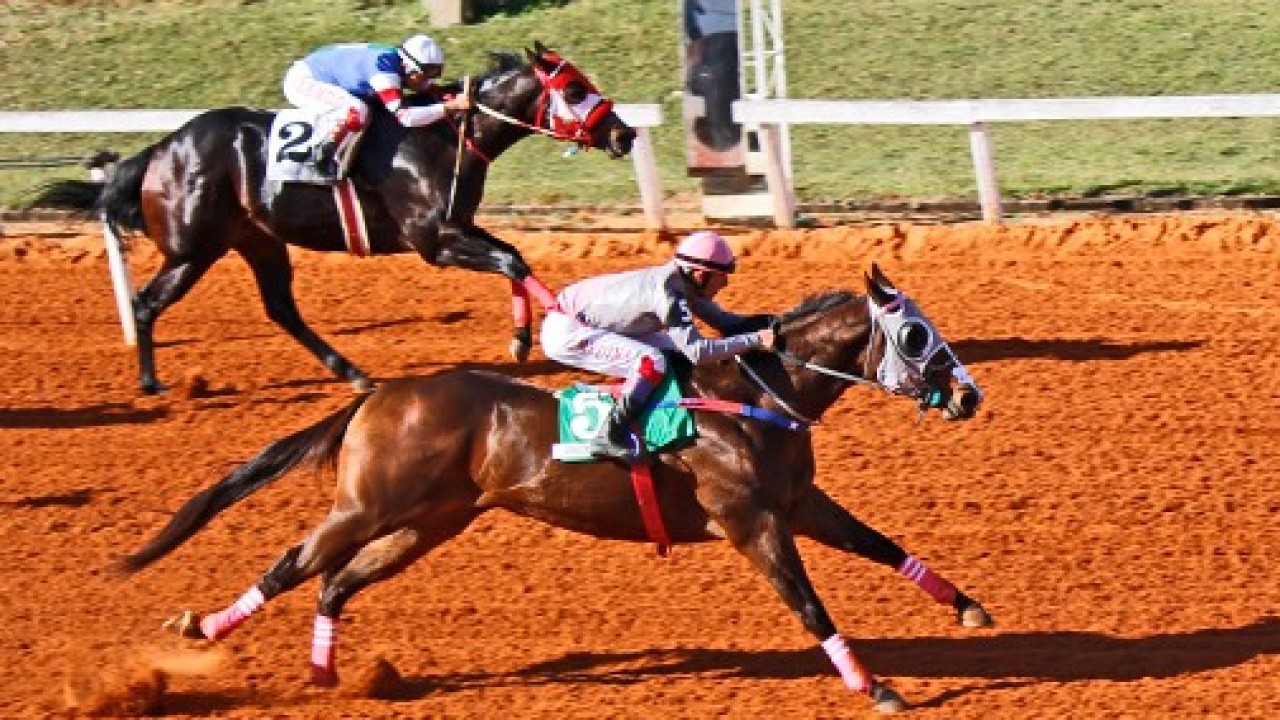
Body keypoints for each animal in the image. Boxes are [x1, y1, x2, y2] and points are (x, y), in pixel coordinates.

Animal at [36, 40, 640, 392]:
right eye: (576, 89)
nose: (625, 134)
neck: (444, 137)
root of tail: (161, 149)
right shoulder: (434, 240)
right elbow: (513, 262)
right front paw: (566, 329)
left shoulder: (456, 226)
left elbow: (514, 255)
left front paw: (521, 338)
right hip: (192, 248)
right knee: (145, 303)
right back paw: (150, 383)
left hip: (258, 239)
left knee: (281, 308)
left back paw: (352, 372)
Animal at [122, 266, 988, 712]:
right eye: (915, 334)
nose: (971, 395)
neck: (747, 394)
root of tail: (377, 396)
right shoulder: (749, 520)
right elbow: (809, 605)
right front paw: (875, 686)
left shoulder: (798, 504)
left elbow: (883, 545)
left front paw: (968, 605)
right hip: (369, 504)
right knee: (294, 562)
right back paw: (199, 631)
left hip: (430, 520)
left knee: (336, 579)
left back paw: (332, 674)